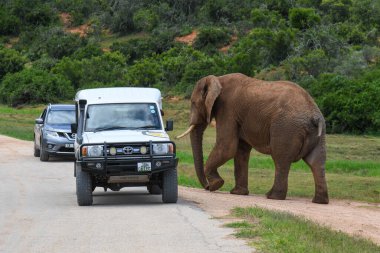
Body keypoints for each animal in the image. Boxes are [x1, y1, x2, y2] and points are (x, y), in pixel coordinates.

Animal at [178, 72, 330, 204]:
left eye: (193, 103)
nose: (207, 187)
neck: (218, 79)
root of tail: (314, 115)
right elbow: (240, 150)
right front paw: (237, 193)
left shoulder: (227, 109)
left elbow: (227, 146)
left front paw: (217, 184)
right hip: (319, 132)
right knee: (316, 162)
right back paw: (319, 201)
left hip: (286, 128)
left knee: (281, 159)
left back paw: (272, 196)